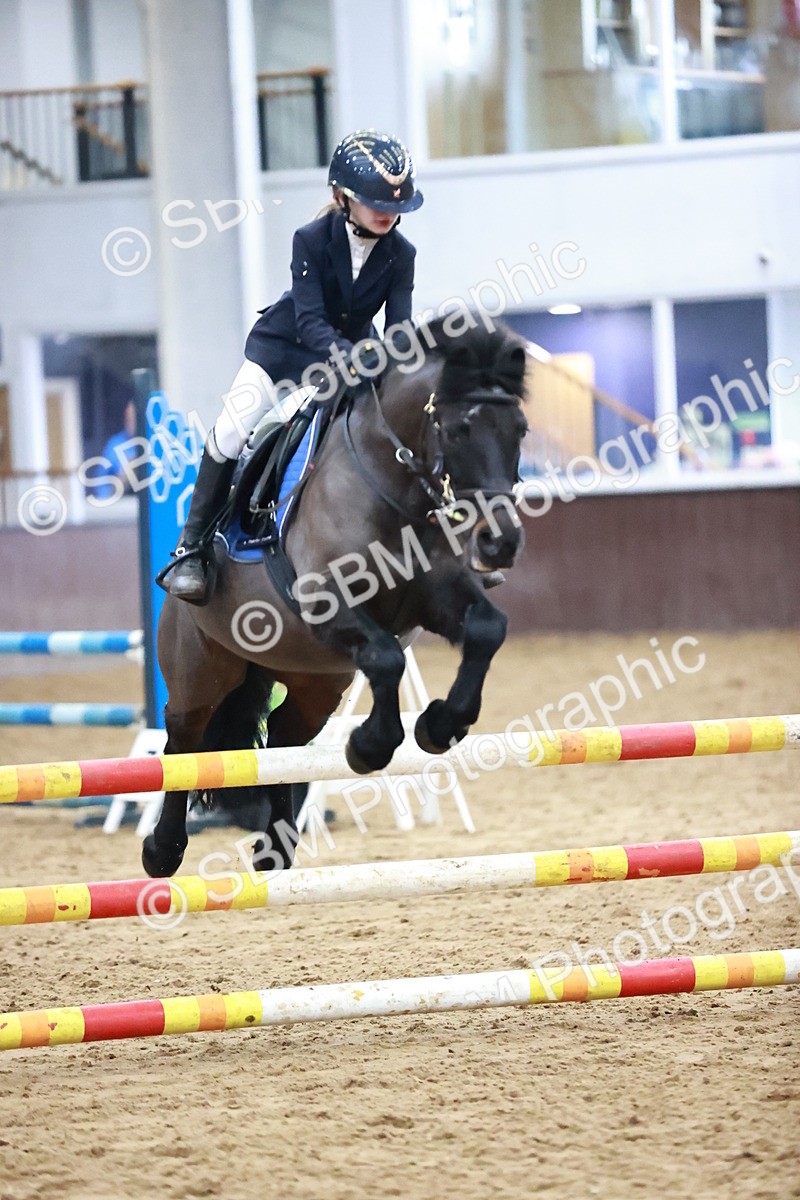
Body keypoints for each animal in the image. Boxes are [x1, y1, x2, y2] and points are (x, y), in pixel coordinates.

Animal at [142, 319, 529, 879]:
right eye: (459, 430)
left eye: (520, 430)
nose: (501, 542)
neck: (391, 487)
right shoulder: (326, 602)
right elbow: (387, 659)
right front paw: (370, 746)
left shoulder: (434, 596)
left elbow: (484, 630)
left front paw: (439, 725)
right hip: (202, 668)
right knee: (183, 741)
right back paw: (163, 849)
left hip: (316, 681)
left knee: (284, 739)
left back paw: (275, 850)